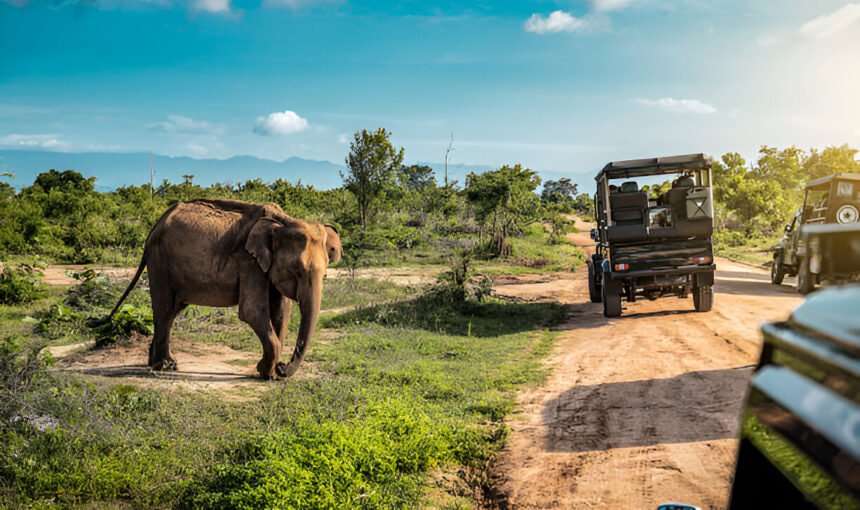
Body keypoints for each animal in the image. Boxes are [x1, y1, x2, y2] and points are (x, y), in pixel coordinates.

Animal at [99, 198, 342, 379]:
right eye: (296, 270)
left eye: (325, 275)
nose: (284, 368)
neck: (282, 222)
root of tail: (154, 228)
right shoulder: (248, 261)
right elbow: (252, 311)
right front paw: (266, 372)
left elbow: (282, 311)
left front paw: (271, 374)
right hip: (159, 261)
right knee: (164, 309)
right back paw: (163, 367)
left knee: (172, 311)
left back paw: (161, 363)